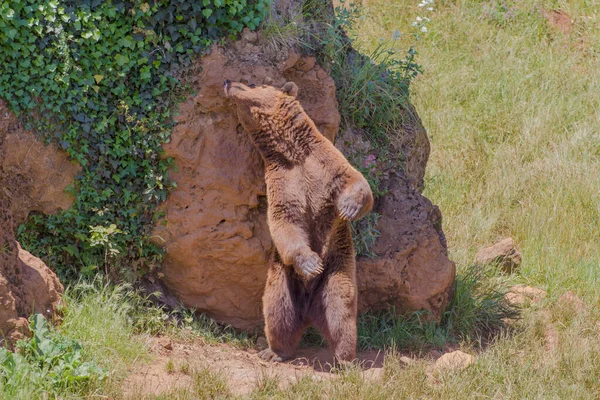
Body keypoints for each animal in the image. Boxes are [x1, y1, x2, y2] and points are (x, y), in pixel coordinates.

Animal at [225, 79, 376, 364]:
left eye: (253, 83)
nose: (228, 82)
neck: (292, 152)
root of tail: (308, 309)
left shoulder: (325, 160)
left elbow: (356, 180)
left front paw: (348, 207)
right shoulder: (281, 180)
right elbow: (285, 220)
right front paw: (310, 263)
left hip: (337, 270)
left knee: (341, 312)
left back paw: (344, 358)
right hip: (282, 280)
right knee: (277, 312)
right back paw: (274, 351)